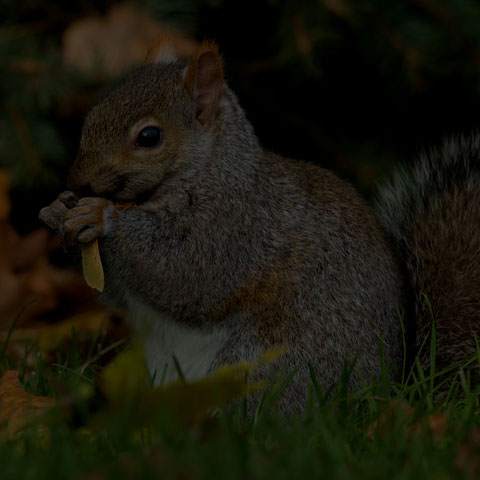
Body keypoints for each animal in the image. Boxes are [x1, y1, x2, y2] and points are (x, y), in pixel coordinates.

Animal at [38, 40, 480, 412]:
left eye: (149, 136)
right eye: (94, 114)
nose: (76, 180)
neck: (207, 169)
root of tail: (389, 390)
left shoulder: (233, 226)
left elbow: (183, 272)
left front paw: (99, 216)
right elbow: (120, 294)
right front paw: (59, 211)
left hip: (267, 368)